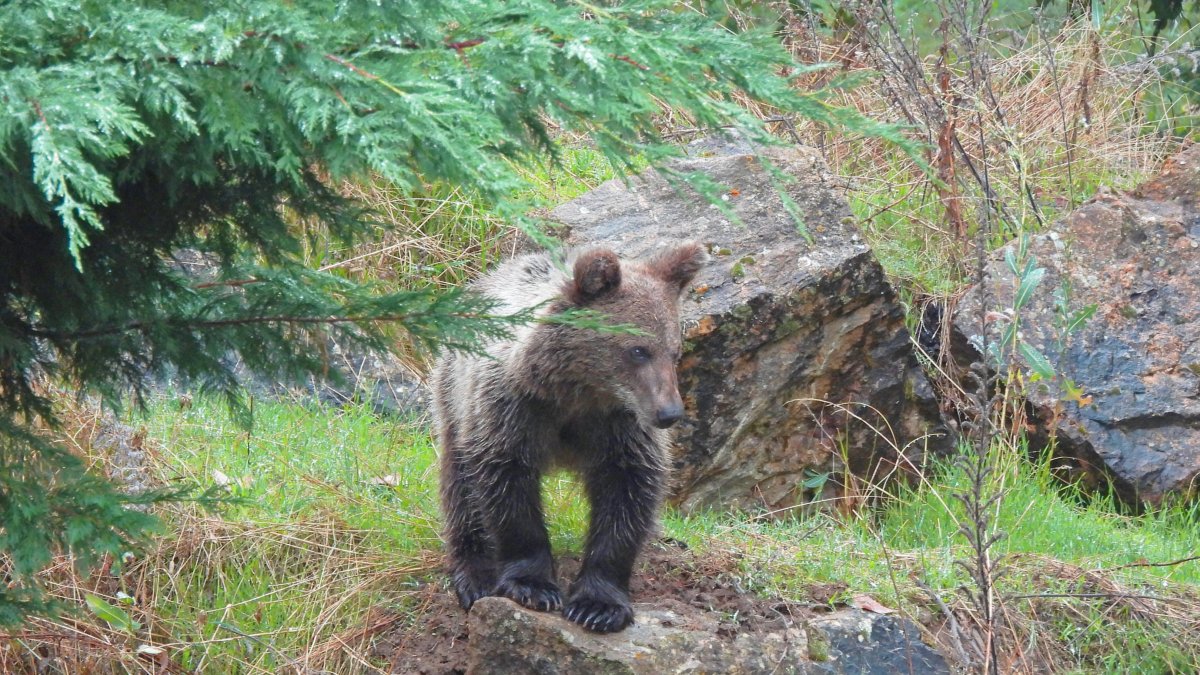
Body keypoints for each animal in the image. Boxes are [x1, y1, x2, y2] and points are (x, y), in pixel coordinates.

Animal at [432, 242, 706, 633]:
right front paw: (533, 585)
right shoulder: (513, 409)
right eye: (638, 350)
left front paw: (598, 604)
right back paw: (474, 574)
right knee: (460, 484)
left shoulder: (621, 427)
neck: (578, 393)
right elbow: (506, 481)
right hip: (454, 391)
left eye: (675, 350)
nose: (669, 413)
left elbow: (627, 492)